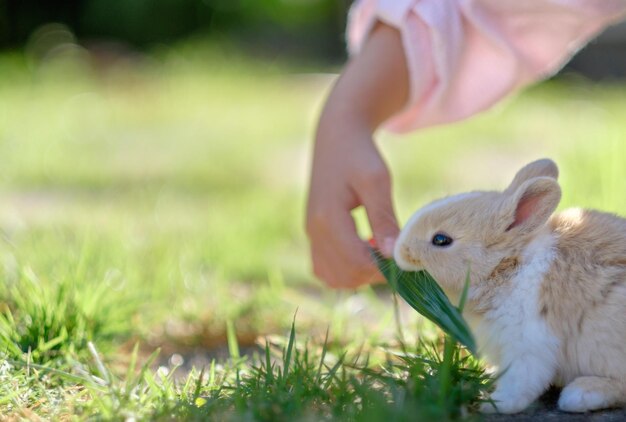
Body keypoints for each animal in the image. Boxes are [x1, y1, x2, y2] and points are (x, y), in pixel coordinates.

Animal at [392, 160, 624, 414]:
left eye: (441, 240)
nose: (399, 251)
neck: (507, 266)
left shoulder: (528, 342)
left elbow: (520, 381)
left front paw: (493, 404)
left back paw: (580, 394)